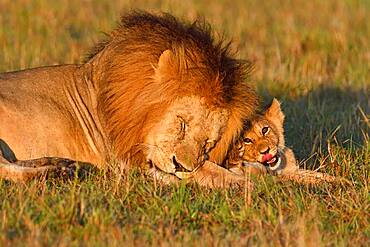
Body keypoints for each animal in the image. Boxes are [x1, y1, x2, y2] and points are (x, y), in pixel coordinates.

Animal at [0, 10, 258, 186]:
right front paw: (244, 183)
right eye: (181, 124)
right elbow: (205, 171)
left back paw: (62, 164)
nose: (181, 167)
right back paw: (59, 172)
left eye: (208, 143)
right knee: (5, 171)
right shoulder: (127, 161)